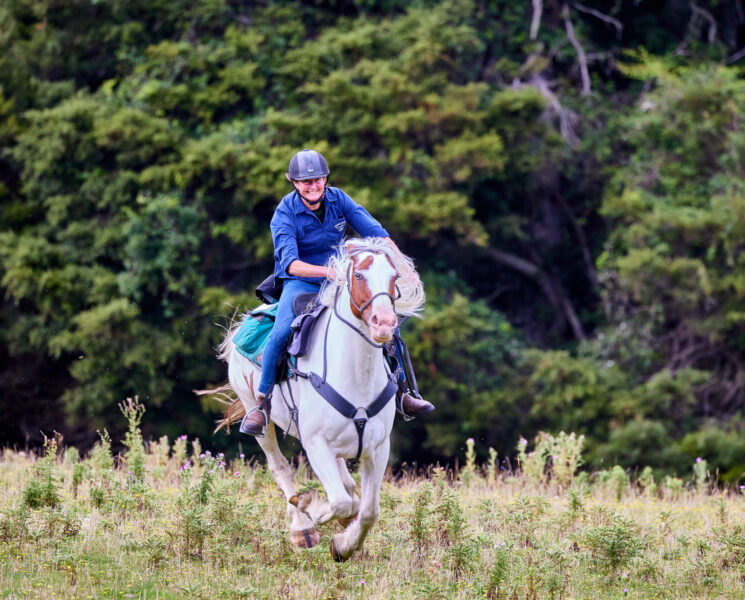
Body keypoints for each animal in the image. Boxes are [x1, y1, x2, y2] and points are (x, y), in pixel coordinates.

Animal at [214, 237, 424, 561]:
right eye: (358, 275)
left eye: (394, 276)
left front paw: (344, 546)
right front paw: (309, 507)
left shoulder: (377, 448)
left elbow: (368, 511)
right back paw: (302, 529)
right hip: (257, 415)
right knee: (280, 467)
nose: (384, 323)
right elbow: (339, 502)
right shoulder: (315, 443)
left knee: (347, 485)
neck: (355, 374)